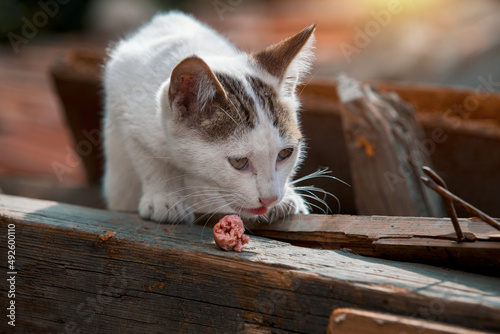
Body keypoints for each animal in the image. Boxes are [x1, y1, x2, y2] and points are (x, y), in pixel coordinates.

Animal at [102, 11, 316, 224]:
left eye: (285, 153)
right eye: (238, 162)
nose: (270, 198)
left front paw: (285, 199)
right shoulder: (122, 90)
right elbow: (147, 156)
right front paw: (166, 197)